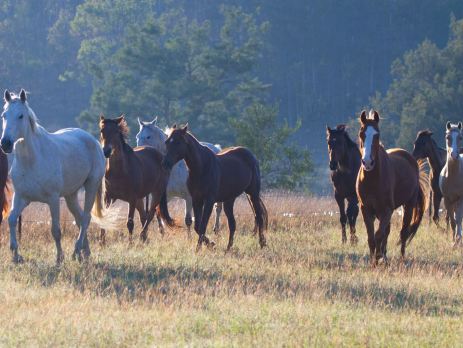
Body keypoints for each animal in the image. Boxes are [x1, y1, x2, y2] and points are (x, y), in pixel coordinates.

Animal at [1, 89, 109, 264]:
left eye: (20, 116)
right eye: (4, 115)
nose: (6, 143)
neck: (33, 160)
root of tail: (93, 141)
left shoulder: (52, 199)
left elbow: (56, 230)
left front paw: (59, 258)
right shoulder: (21, 197)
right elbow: (11, 220)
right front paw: (16, 255)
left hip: (91, 186)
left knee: (86, 218)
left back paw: (76, 251)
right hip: (71, 195)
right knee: (80, 219)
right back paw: (84, 253)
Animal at [356, 110, 428, 266]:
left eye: (377, 135)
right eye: (361, 133)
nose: (368, 162)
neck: (373, 180)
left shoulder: (386, 210)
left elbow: (378, 235)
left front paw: (377, 258)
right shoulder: (366, 209)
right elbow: (371, 237)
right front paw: (374, 260)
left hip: (408, 205)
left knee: (404, 232)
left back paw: (401, 258)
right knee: (387, 232)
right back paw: (385, 257)